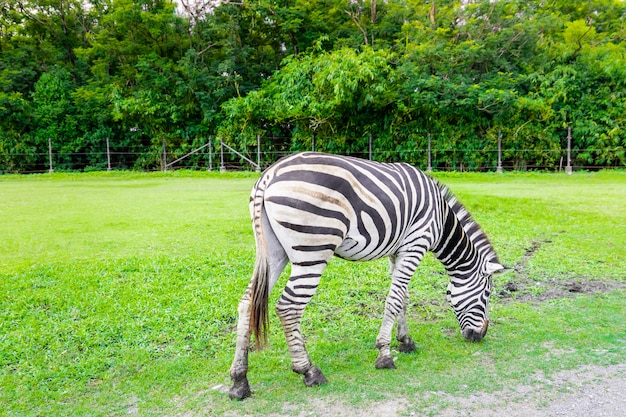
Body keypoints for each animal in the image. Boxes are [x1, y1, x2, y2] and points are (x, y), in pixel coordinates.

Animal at [227, 151, 504, 398]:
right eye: (487, 294)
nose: (480, 336)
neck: (441, 219)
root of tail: (270, 174)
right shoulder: (416, 244)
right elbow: (394, 300)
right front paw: (385, 355)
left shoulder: (398, 251)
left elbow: (403, 297)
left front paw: (405, 341)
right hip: (313, 247)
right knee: (289, 307)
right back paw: (309, 371)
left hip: (274, 251)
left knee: (247, 302)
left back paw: (239, 381)